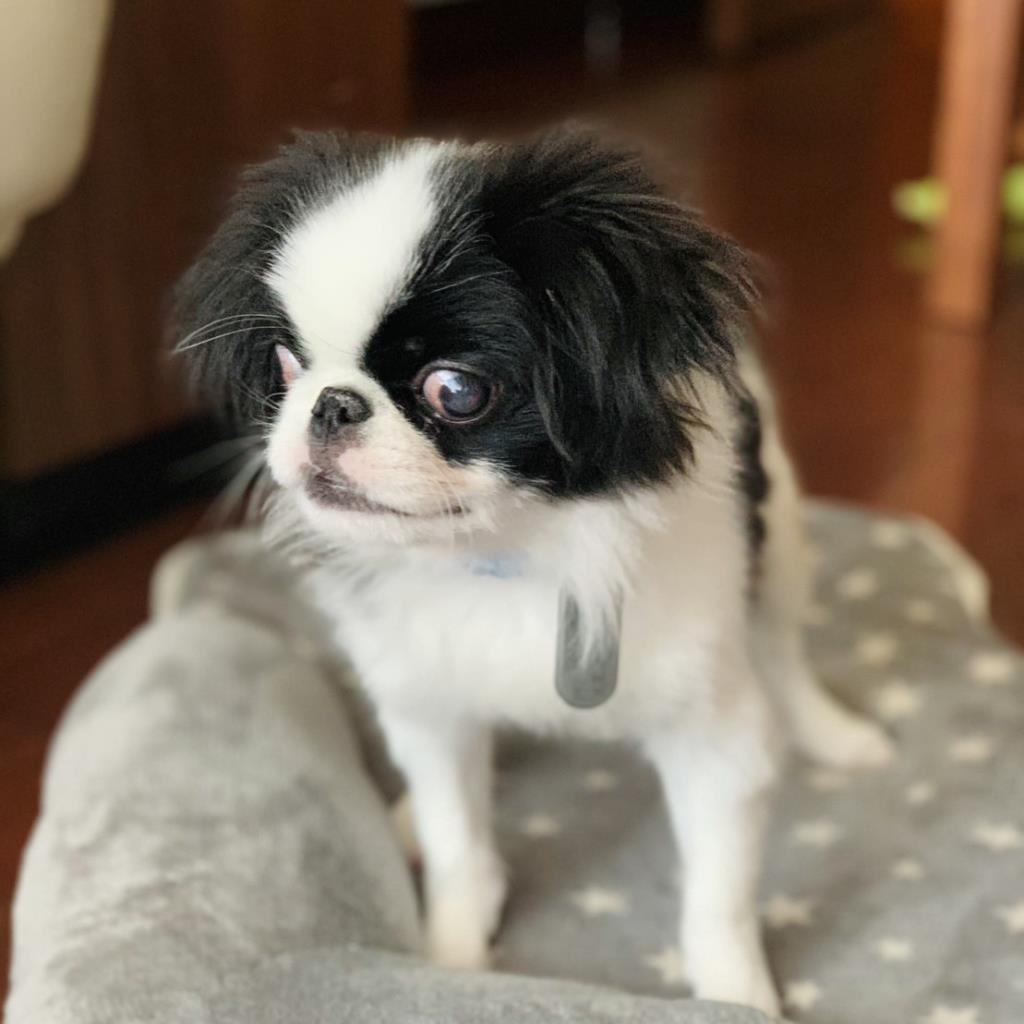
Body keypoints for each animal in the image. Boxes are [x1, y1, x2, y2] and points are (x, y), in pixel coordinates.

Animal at [174, 126, 892, 1015]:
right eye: (283, 365)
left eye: (454, 390)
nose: (332, 404)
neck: (504, 555)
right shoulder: (429, 703)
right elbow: (459, 848)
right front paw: (449, 963)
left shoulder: (713, 736)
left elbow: (717, 899)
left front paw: (737, 998)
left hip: (783, 541)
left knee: (785, 654)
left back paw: (834, 734)